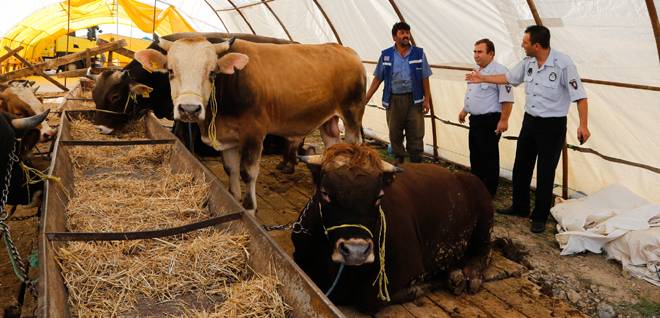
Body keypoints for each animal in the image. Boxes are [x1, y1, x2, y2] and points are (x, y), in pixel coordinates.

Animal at [133, 37, 366, 212]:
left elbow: (248, 172)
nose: (189, 109)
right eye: (170, 71)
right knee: (333, 147)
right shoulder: (228, 138)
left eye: (212, 72)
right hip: (328, 121)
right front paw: (234, 198)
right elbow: (231, 169)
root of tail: (346, 50)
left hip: (352, 115)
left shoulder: (254, 133)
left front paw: (250, 207)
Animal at [292, 144, 492, 314]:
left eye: (379, 196)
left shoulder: (410, 266)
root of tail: (460, 175)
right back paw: (455, 275)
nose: (356, 251)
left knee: (485, 252)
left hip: (484, 218)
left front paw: (423, 285)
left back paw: (470, 274)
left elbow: (369, 298)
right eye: (325, 193)